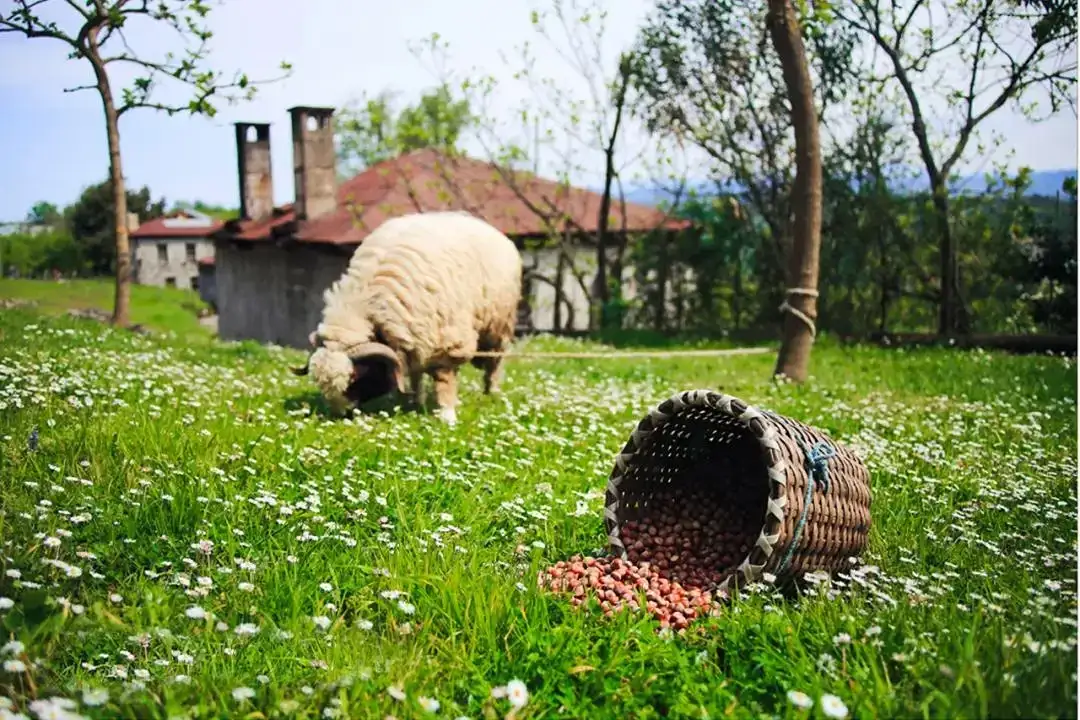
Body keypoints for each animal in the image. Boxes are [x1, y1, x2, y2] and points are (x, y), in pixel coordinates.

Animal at [289, 209, 520, 423]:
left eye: (355, 377)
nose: (340, 415)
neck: (368, 299)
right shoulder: (414, 335)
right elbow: (415, 373)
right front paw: (415, 402)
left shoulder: (446, 339)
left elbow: (444, 379)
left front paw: (447, 415)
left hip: (498, 324)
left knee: (495, 361)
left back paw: (491, 392)